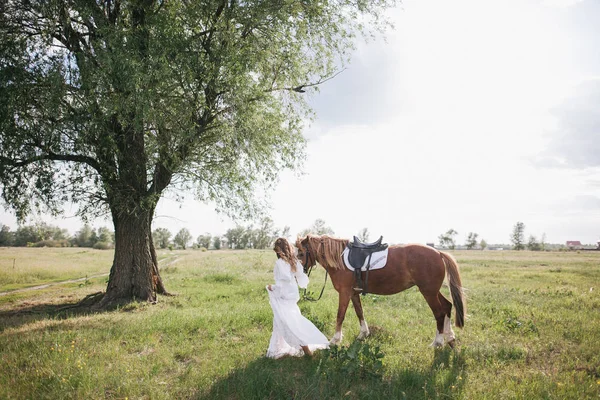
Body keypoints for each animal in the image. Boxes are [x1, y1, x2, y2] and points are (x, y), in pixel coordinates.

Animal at [294, 234, 464, 346]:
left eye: (301, 253)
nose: (295, 274)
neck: (340, 259)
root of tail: (438, 253)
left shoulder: (344, 293)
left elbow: (340, 316)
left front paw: (335, 340)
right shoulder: (353, 293)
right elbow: (359, 312)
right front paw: (363, 334)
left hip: (428, 292)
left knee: (439, 313)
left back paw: (437, 342)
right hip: (433, 291)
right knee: (447, 306)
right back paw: (450, 337)